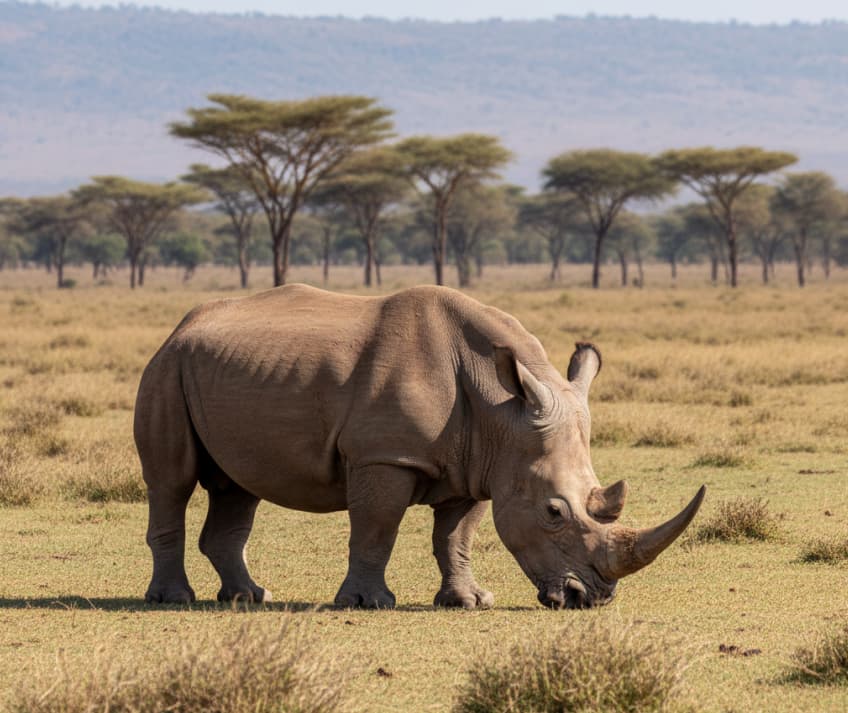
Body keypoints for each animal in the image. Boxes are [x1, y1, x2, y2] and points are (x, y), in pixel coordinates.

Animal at [135, 284, 704, 610]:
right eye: (553, 512)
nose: (592, 599)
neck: (503, 411)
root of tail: (181, 324)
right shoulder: (384, 456)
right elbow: (377, 528)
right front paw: (368, 603)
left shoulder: (482, 463)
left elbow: (456, 537)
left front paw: (469, 602)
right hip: (167, 368)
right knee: (171, 481)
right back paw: (174, 600)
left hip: (217, 368)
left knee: (238, 487)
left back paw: (248, 598)